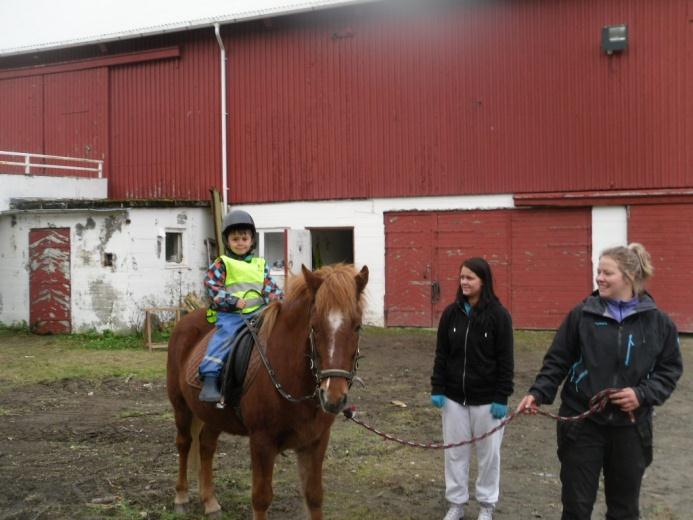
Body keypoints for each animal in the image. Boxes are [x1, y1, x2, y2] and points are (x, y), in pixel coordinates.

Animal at [166, 266, 368, 516]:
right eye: (314, 326)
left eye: (357, 326)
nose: (333, 397)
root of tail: (184, 321)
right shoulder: (262, 441)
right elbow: (261, 498)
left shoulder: (316, 441)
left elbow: (314, 496)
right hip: (181, 407)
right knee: (184, 443)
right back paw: (181, 497)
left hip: (212, 414)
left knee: (206, 446)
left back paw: (210, 502)